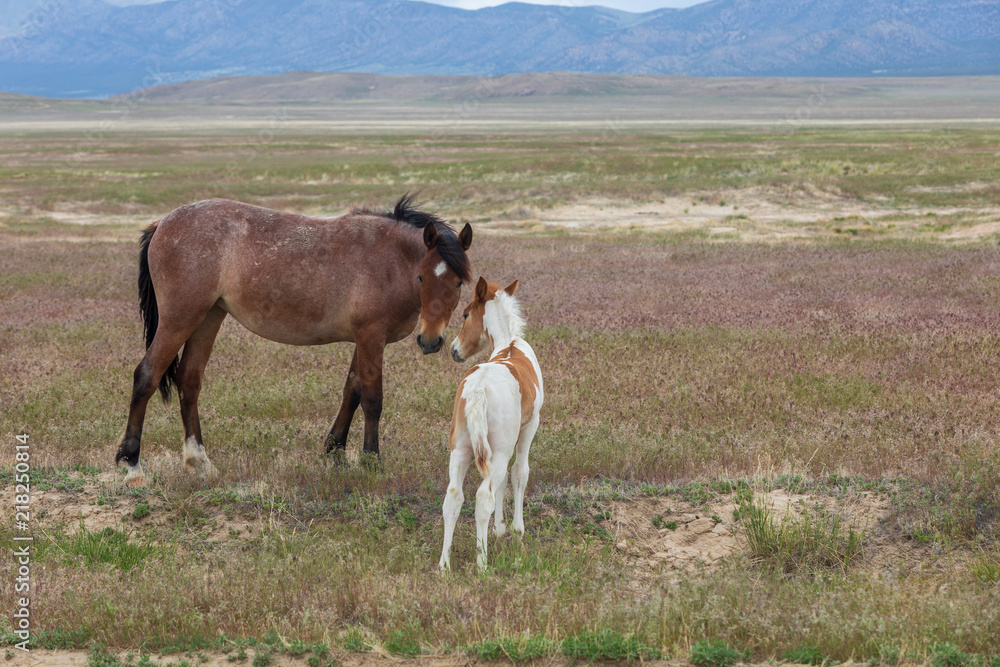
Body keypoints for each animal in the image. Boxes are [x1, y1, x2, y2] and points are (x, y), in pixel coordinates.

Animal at [114, 194, 473, 485]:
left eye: (458, 283)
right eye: (422, 277)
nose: (430, 341)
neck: (390, 259)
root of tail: (162, 223)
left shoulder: (364, 339)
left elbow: (351, 391)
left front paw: (334, 451)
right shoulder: (371, 336)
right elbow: (372, 399)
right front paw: (371, 461)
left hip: (208, 317)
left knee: (189, 380)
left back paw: (199, 461)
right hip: (180, 319)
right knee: (146, 376)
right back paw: (133, 465)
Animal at [439, 277, 543, 571]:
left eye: (464, 314)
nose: (454, 349)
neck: (509, 343)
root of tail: (478, 389)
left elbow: (503, 481)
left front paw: (500, 528)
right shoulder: (529, 427)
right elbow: (519, 473)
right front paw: (516, 531)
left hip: (460, 450)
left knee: (453, 497)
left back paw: (444, 566)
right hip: (498, 450)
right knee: (483, 497)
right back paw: (482, 563)